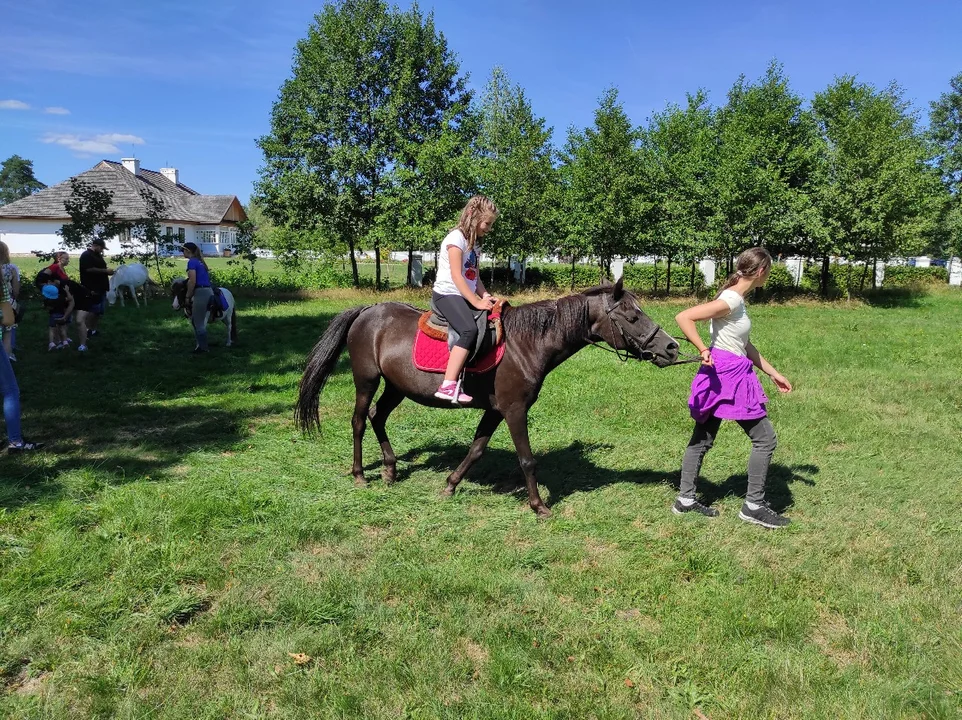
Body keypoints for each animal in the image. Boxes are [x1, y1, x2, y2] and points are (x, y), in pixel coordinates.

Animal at [296, 278, 680, 516]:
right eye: (632, 316)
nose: (672, 348)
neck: (527, 343)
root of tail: (368, 310)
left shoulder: (495, 411)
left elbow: (476, 450)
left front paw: (450, 486)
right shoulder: (514, 410)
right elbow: (527, 460)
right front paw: (539, 506)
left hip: (396, 387)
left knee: (378, 417)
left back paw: (390, 470)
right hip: (366, 379)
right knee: (359, 421)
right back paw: (360, 475)